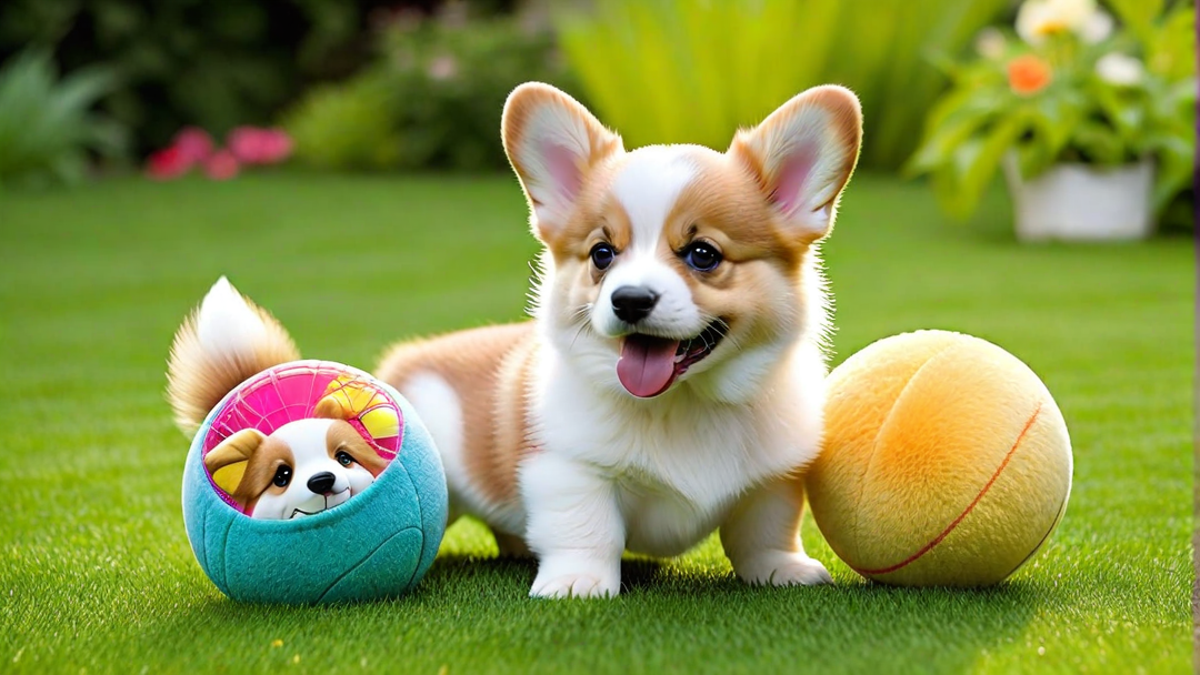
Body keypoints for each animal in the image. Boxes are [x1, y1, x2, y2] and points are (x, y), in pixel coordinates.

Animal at [379, 82, 859, 593]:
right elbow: (586, 529)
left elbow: (765, 530)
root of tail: (404, 360)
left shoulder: (774, 478)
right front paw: (577, 583)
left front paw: (782, 570)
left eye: (703, 254)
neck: (682, 404)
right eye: (602, 253)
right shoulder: (569, 469)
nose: (629, 300)